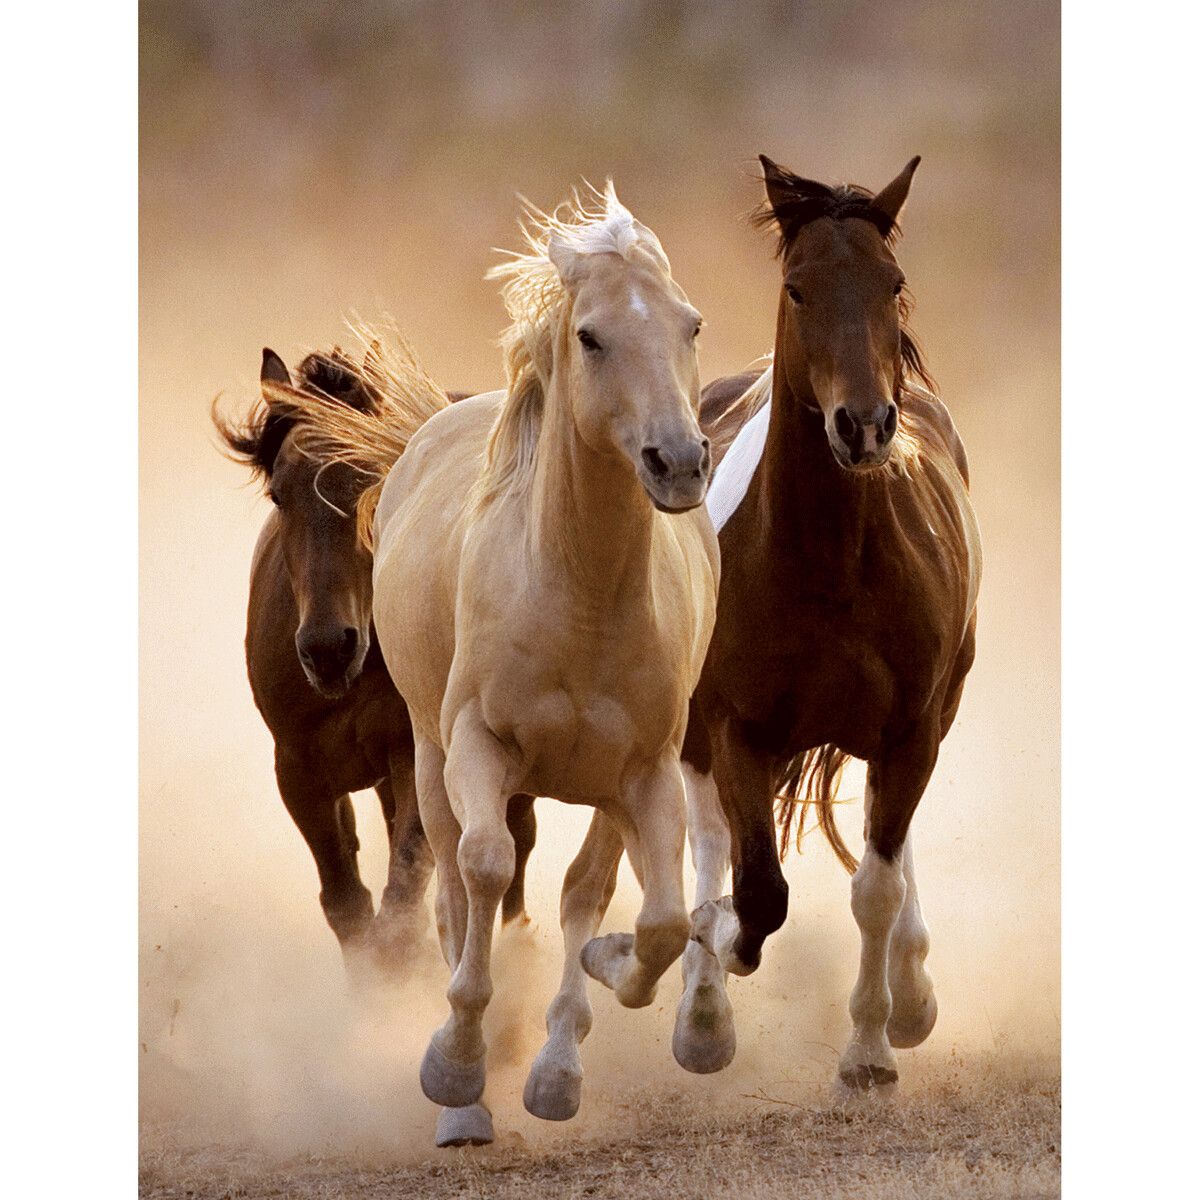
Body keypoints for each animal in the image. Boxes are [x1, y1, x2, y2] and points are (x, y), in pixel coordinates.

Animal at [212, 343, 539, 993]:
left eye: (373, 481)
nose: (327, 648)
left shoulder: (415, 755)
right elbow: (348, 904)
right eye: (279, 494)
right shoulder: (300, 772)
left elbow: (403, 897)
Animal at [285, 184, 720, 1137]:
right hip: (426, 756)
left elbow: (656, 919)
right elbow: (481, 873)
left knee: (585, 888)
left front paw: (600, 988)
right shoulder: (476, 748)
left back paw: (556, 1062)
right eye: (591, 335)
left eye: (691, 324)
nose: (678, 462)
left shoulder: (646, 771)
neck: (579, 595)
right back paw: (468, 1104)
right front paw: (453, 1068)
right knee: (455, 886)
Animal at [686, 156, 982, 1100]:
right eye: (798, 287)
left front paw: (872, 1047)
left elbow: (875, 890)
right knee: (708, 840)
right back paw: (700, 1011)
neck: (829, 564)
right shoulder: (736, 729)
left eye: (892, 283)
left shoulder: (910, 731)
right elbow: (757, 892)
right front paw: (716, 950)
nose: (863, 425)